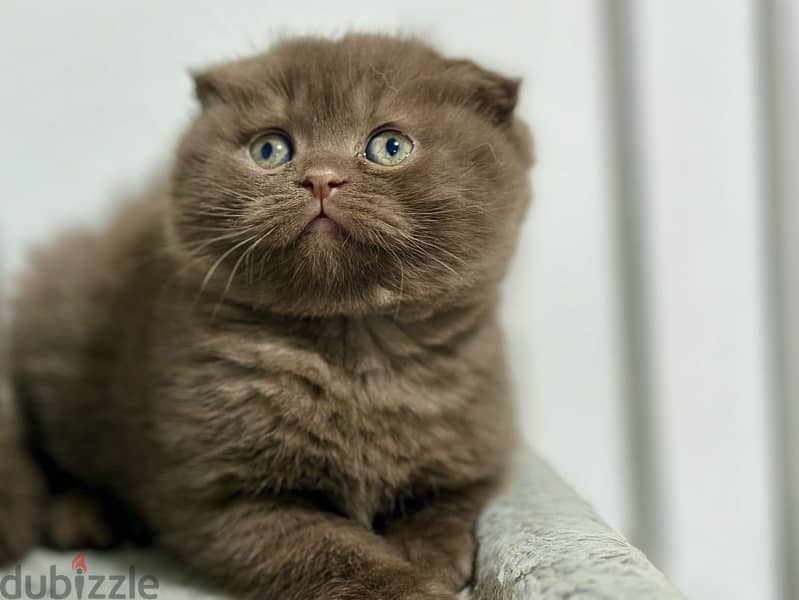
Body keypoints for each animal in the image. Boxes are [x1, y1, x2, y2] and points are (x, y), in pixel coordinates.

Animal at [6, 34, 536, 600]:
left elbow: (445, 509)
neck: (353, 352)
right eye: (270, 149)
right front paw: (413, 585)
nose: (321, 179)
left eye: (390, 146)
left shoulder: (475, 453)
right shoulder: (225, 498)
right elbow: (334, 552)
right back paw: (83, 516)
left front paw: (430, 558)